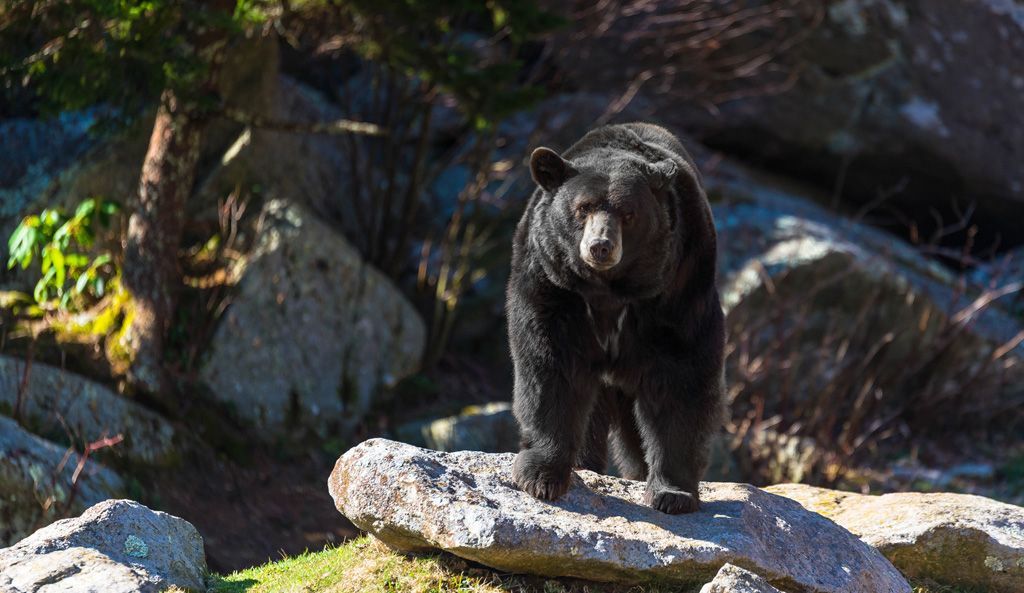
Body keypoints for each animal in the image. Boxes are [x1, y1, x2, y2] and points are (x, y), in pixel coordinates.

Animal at [506, 122, 725, 514]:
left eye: (628, 213)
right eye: (583, 208)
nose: (600, 246)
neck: (608, 291)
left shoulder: (678, 288)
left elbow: (682, 378)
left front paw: (672, 493)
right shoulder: (551, 285)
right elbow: (550, 367)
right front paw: (541, 477)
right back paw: (585, 464)